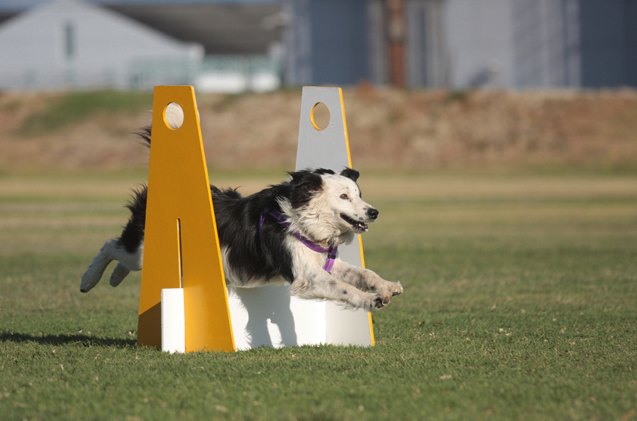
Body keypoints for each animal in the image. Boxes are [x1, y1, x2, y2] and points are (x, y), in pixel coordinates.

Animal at [79, 141, 402, 308]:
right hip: (146, 250)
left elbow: (361, 272)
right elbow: (342, 287)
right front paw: (370, 299)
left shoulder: (321, 261)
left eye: (360, 194)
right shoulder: (304, 275)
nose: (374, 212)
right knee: (110, 246)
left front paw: (386, 287)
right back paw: (88, 280)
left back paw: (114, 278)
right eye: (345, 196)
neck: (302, 219)